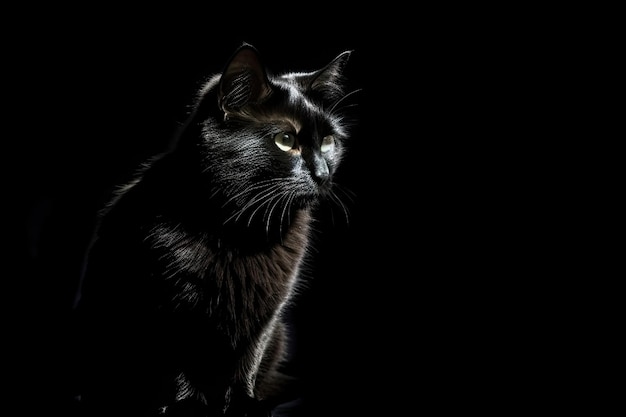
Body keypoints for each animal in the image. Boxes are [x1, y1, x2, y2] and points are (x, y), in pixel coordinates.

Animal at [70, 41, 354, 412]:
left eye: (328, 142)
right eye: (285, 139)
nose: (324, 174)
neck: (242, 229)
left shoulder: (267, 312)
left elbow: (248, 358)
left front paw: (244, 403)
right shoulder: (164, 306)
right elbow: (178, 364)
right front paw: (188, 405)